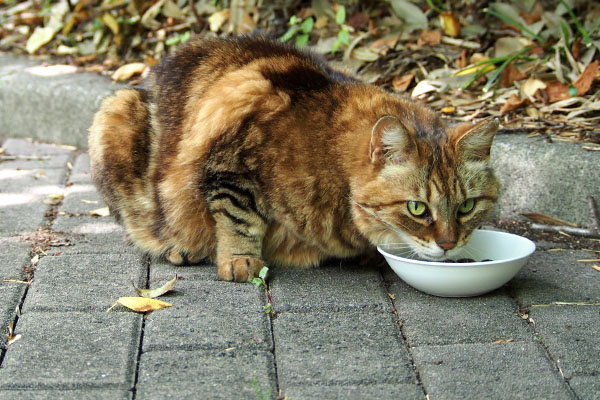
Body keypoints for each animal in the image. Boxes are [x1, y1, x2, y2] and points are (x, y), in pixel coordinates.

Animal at [88, 36, 502, 282]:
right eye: (417, 208)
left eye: (467, 206)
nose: (449, 245)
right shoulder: (229, 164)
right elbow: (239, 219)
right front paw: (240, 261)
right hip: (114, 115)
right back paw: (180, 248)